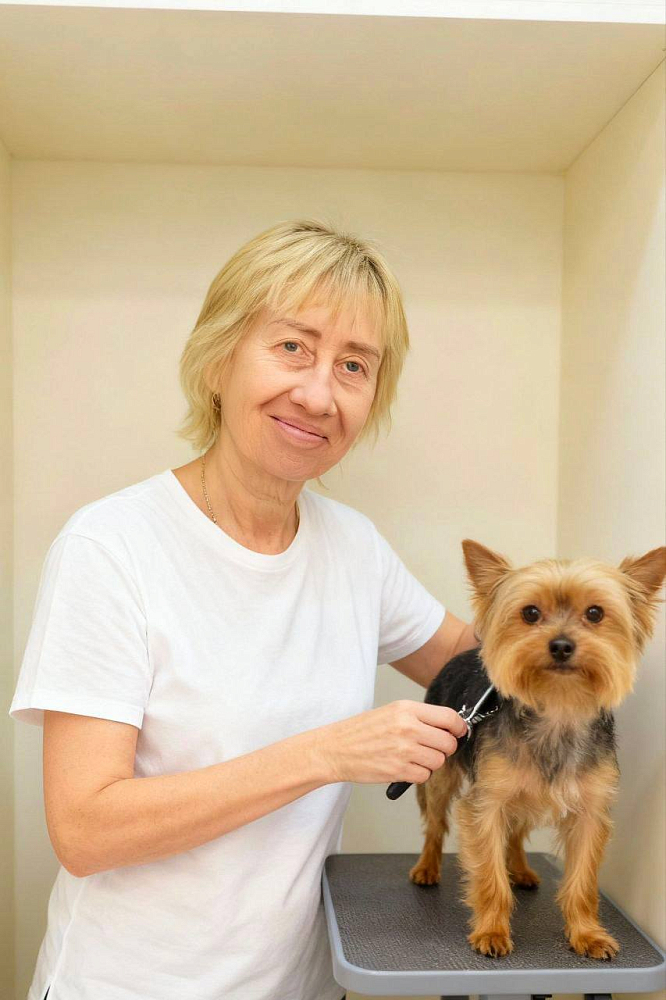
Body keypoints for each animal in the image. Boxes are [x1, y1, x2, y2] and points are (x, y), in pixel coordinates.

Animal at [409, 539, 666, 960]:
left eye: (595, 613)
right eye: (530, 613)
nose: (560, 645)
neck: (558, 710)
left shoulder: (590, 812)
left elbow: (582, 881)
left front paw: (587, 934)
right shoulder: (487, 804)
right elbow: (489, 874)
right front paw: (491, 931)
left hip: (527, 794)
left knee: (515, 834)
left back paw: (522, 870)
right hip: (442, 772)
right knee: (435, 823)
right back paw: (427, 868)